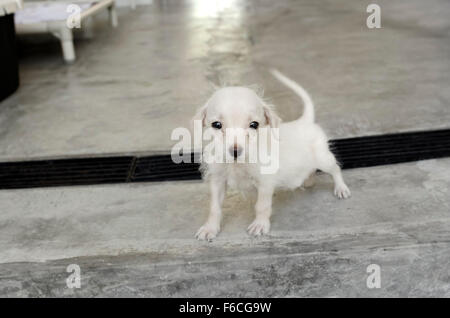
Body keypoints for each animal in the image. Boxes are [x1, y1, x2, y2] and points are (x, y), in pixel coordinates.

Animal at [192, 68, 350, 240]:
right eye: (216, 125)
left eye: (254, 125)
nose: (235, 151)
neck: (238, 164)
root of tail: (305, 121)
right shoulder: (218, 180)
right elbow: (214, 207)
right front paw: (210, 228)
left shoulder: (265, 182)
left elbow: (262, 206)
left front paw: (260, 225)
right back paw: (308, 181)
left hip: (323, 159)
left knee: (335, 169)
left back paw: (341, 188)